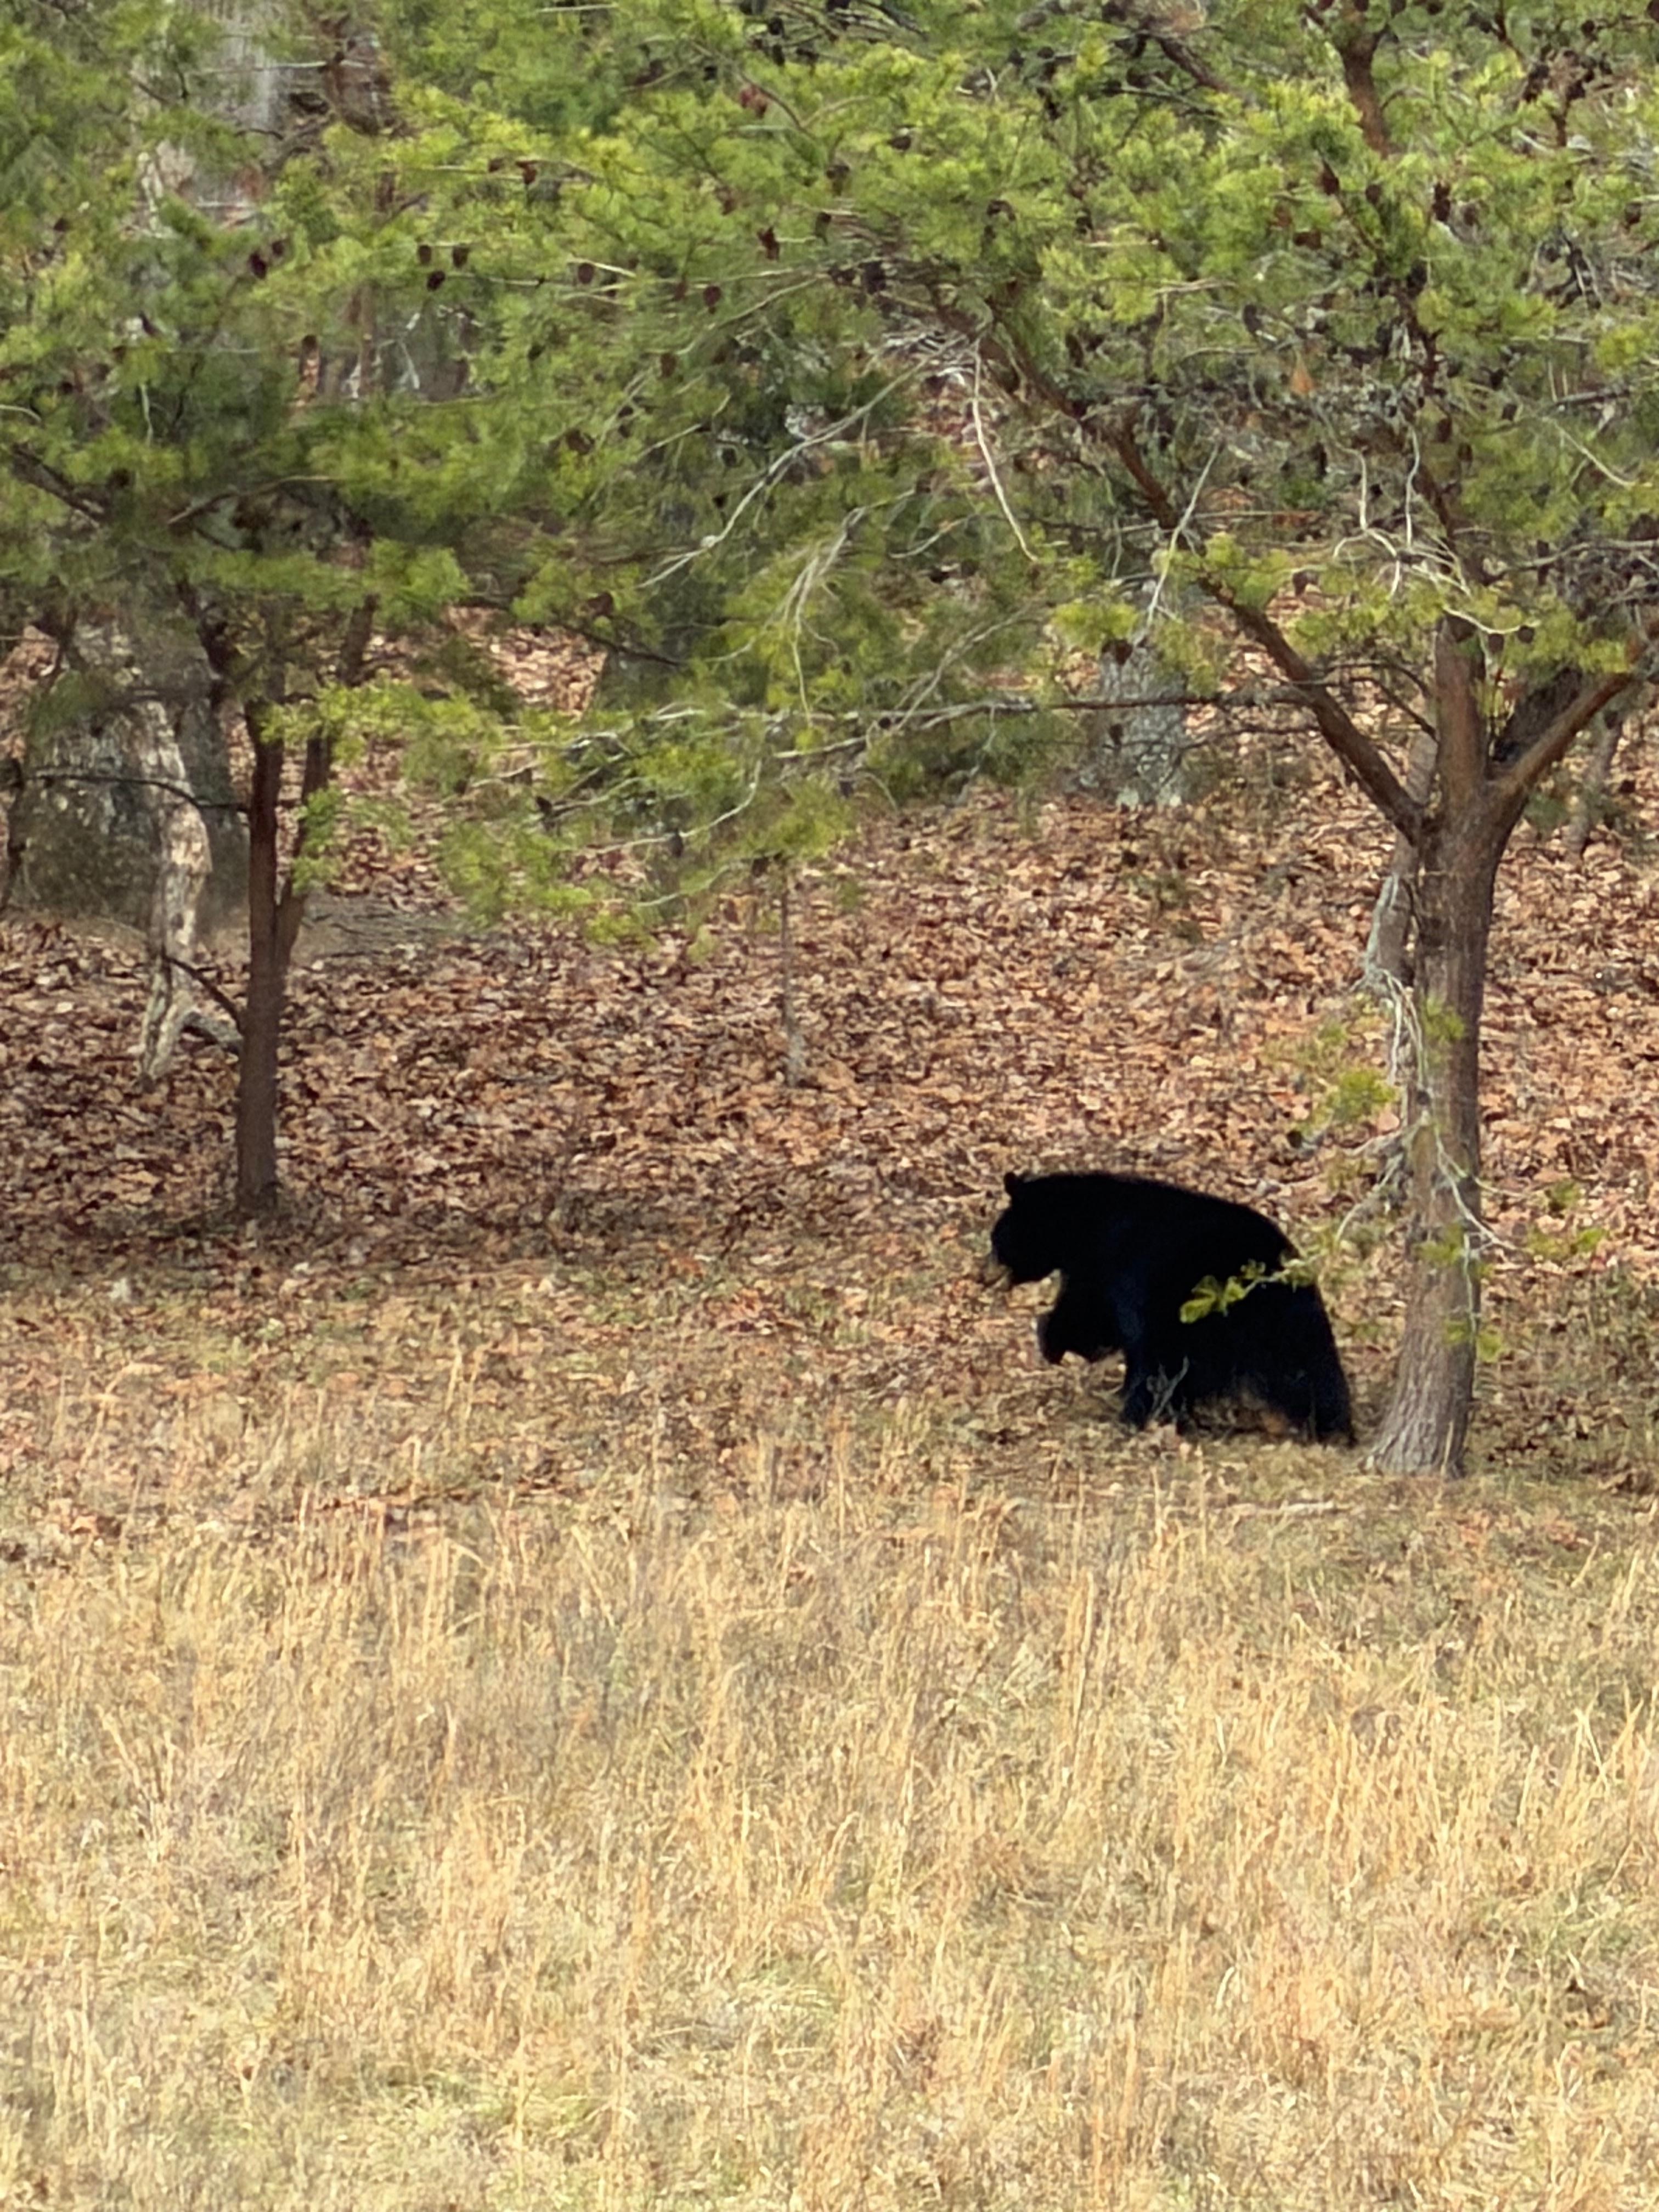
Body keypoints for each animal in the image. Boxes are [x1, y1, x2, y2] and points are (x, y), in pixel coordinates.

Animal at [986, 1170, 1353, 1442]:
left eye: (996, 1236)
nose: (983, 1270)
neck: (1083, 1224)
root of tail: (1265, 1270)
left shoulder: (1112, 1267)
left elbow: (1087, 1312)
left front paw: (1051, 1339)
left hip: (1191, 1311)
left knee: (1162, 1362)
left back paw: (1138, 1413)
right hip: (1294, 1319)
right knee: (1315, 1368)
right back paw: (1331, 1425)